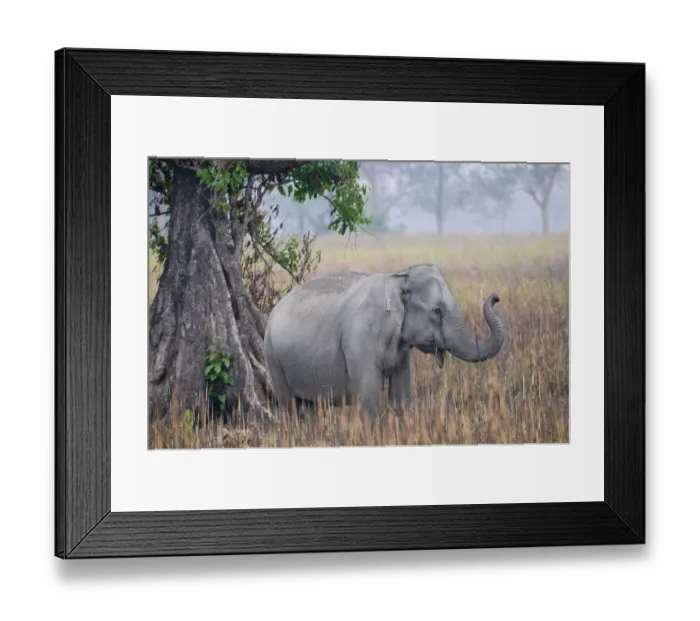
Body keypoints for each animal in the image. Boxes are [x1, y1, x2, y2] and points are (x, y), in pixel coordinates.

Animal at [263, 263, 504, 419]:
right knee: (289, 405)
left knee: (311, 406)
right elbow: (369, 395)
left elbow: (402, 393)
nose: (496, 297)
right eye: (437, 311)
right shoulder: (359, 337)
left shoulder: (401, 349)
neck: (399, 276)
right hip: (272, 356)